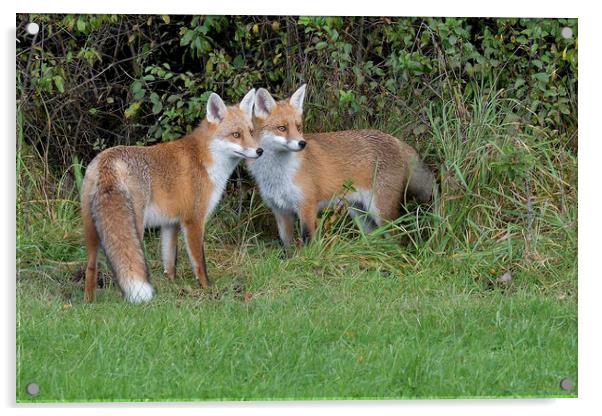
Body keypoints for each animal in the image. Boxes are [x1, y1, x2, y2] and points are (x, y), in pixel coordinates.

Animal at [79, 88, 260, 302]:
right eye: (236, 135)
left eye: (251, 132)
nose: (259, 151)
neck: (205, 160)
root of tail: (109, 163)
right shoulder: (193, 220)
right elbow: (200, 264)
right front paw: (207, 290)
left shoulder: (170, 224)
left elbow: (169, 263)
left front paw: (173, 289)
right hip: (135, 228)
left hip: (92, 230)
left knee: (91, 268)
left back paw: (89, 302)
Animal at [246, 85, 434, 247]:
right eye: (282, 128)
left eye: (298, 127)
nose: (302, 143)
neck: (277, 174)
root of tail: (396, 141)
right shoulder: (280, 211)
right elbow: (287, 246)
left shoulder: (307, 207)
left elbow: (308, 242)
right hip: (360, 214)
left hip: (381, 212)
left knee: (397, 237)